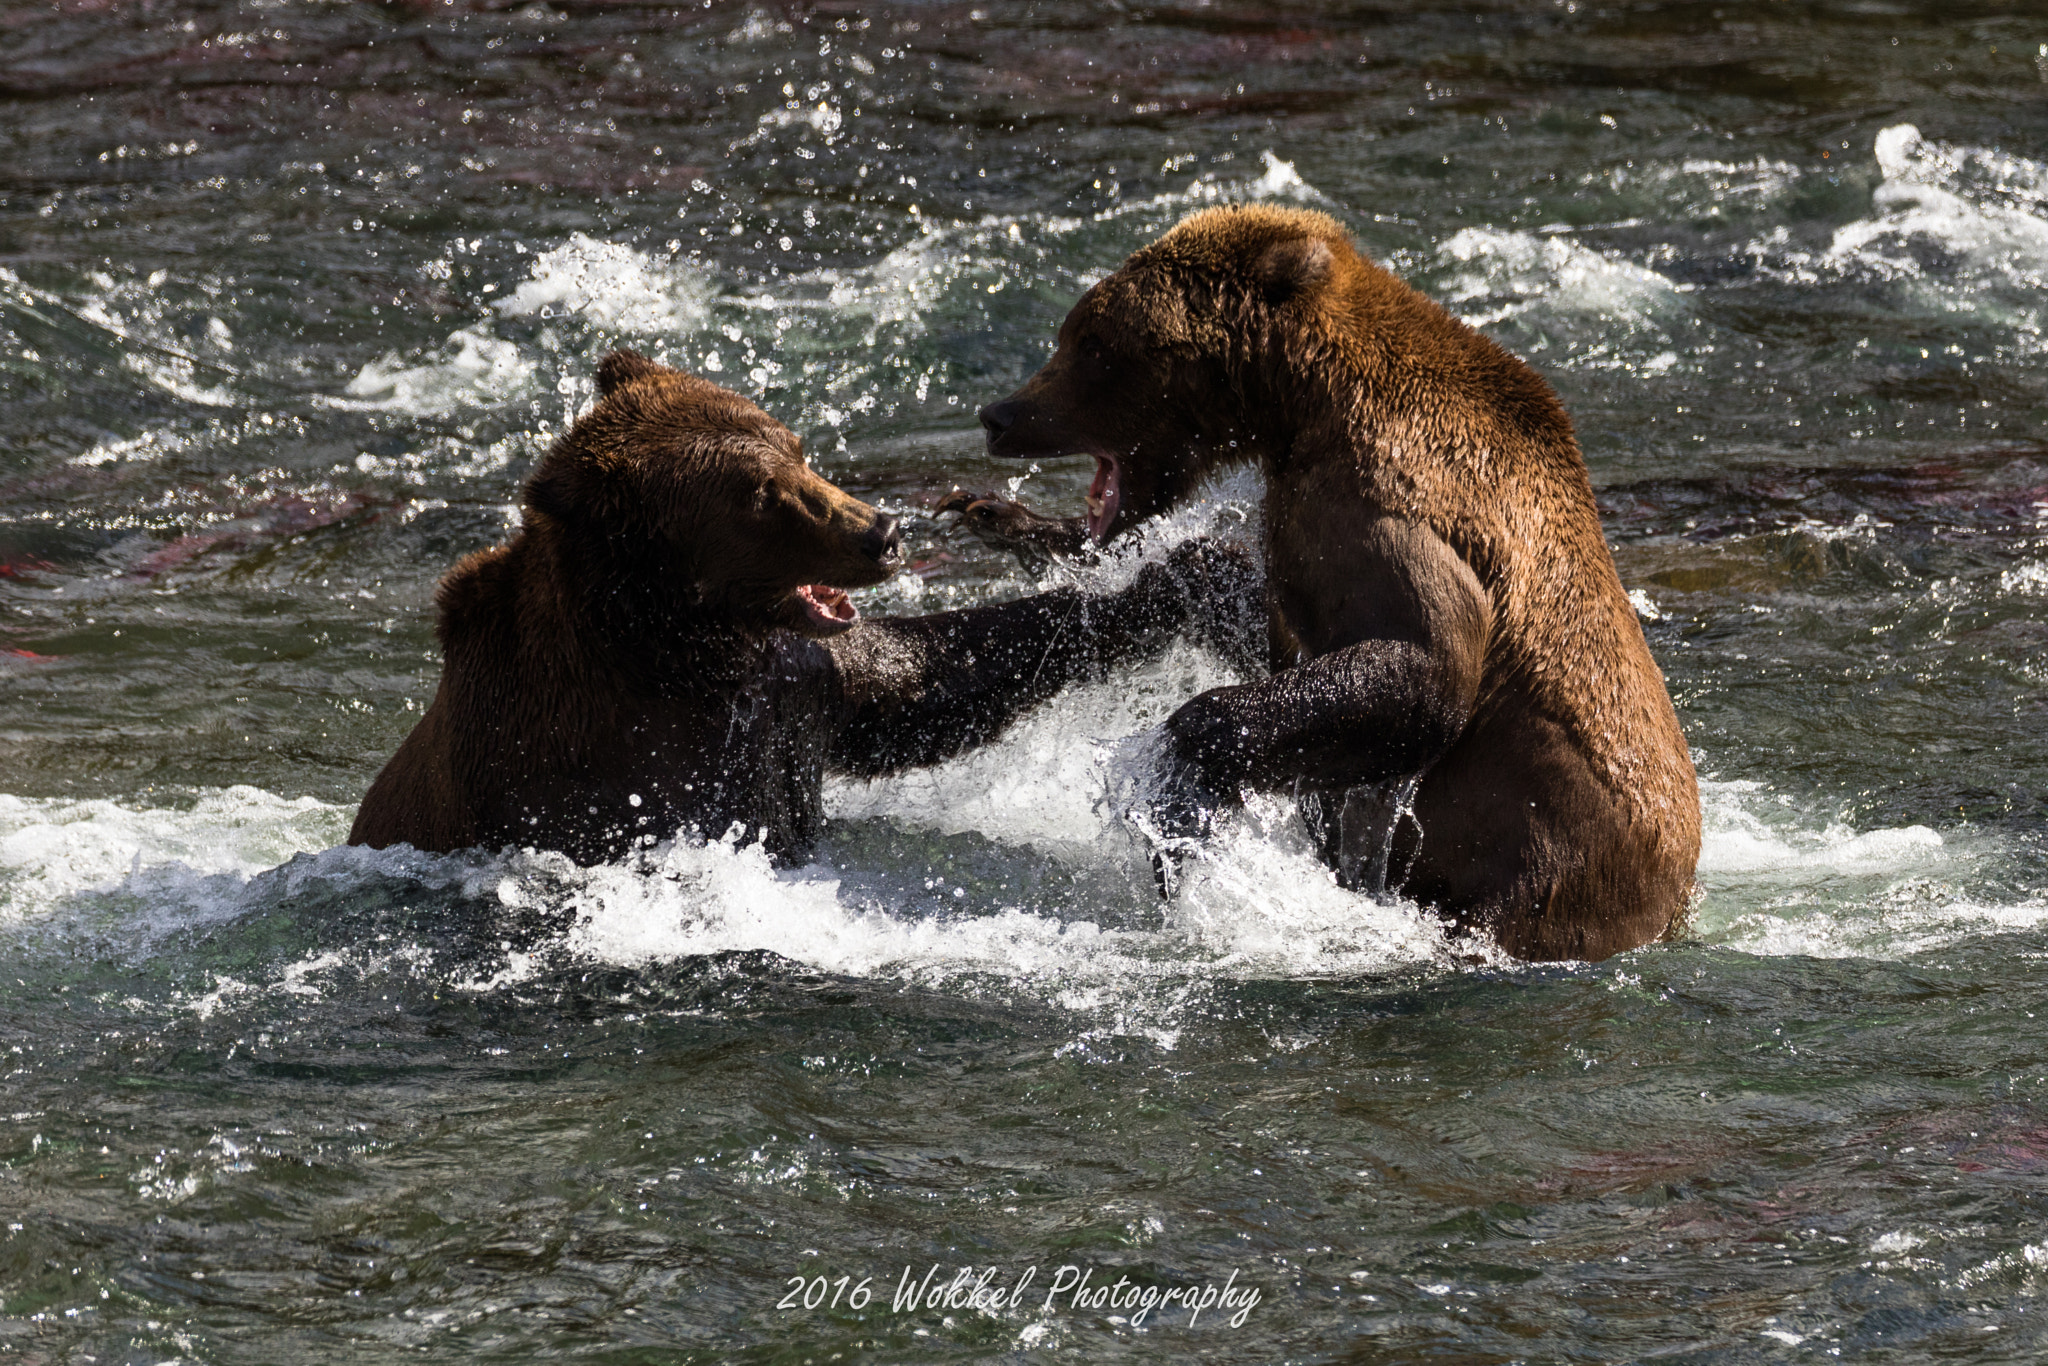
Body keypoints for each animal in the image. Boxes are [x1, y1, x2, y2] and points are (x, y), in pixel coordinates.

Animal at [349, 350, 1246, 866]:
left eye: (795, 446)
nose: (881, 531)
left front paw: (1188, 574)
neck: (686, 646)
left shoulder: (796, 685)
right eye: (754, 493)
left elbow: (919, 681)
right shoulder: (603, 766)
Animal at [964, 204, 1700, 962]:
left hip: (1546, 870)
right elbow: (1273, 629)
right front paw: (1014, 524)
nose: (999, 414)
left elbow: (1421, 664)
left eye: (1093, 342)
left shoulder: (1373, 505)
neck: (1297, 406)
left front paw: (1177, 793)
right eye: (1075, 333)